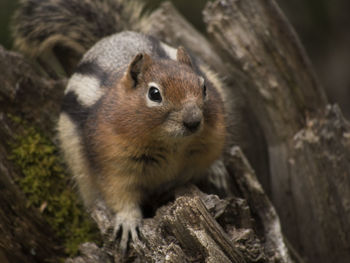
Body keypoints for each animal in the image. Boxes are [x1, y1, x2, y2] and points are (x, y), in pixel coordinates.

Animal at [12, 0, 230, 253]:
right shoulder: (112, 162)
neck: (170, 144)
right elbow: (118, 193)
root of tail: (113, 37)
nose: (194, 121)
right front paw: (128, 222)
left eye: (203, 86)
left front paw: (214, 171)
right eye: (154, 94)